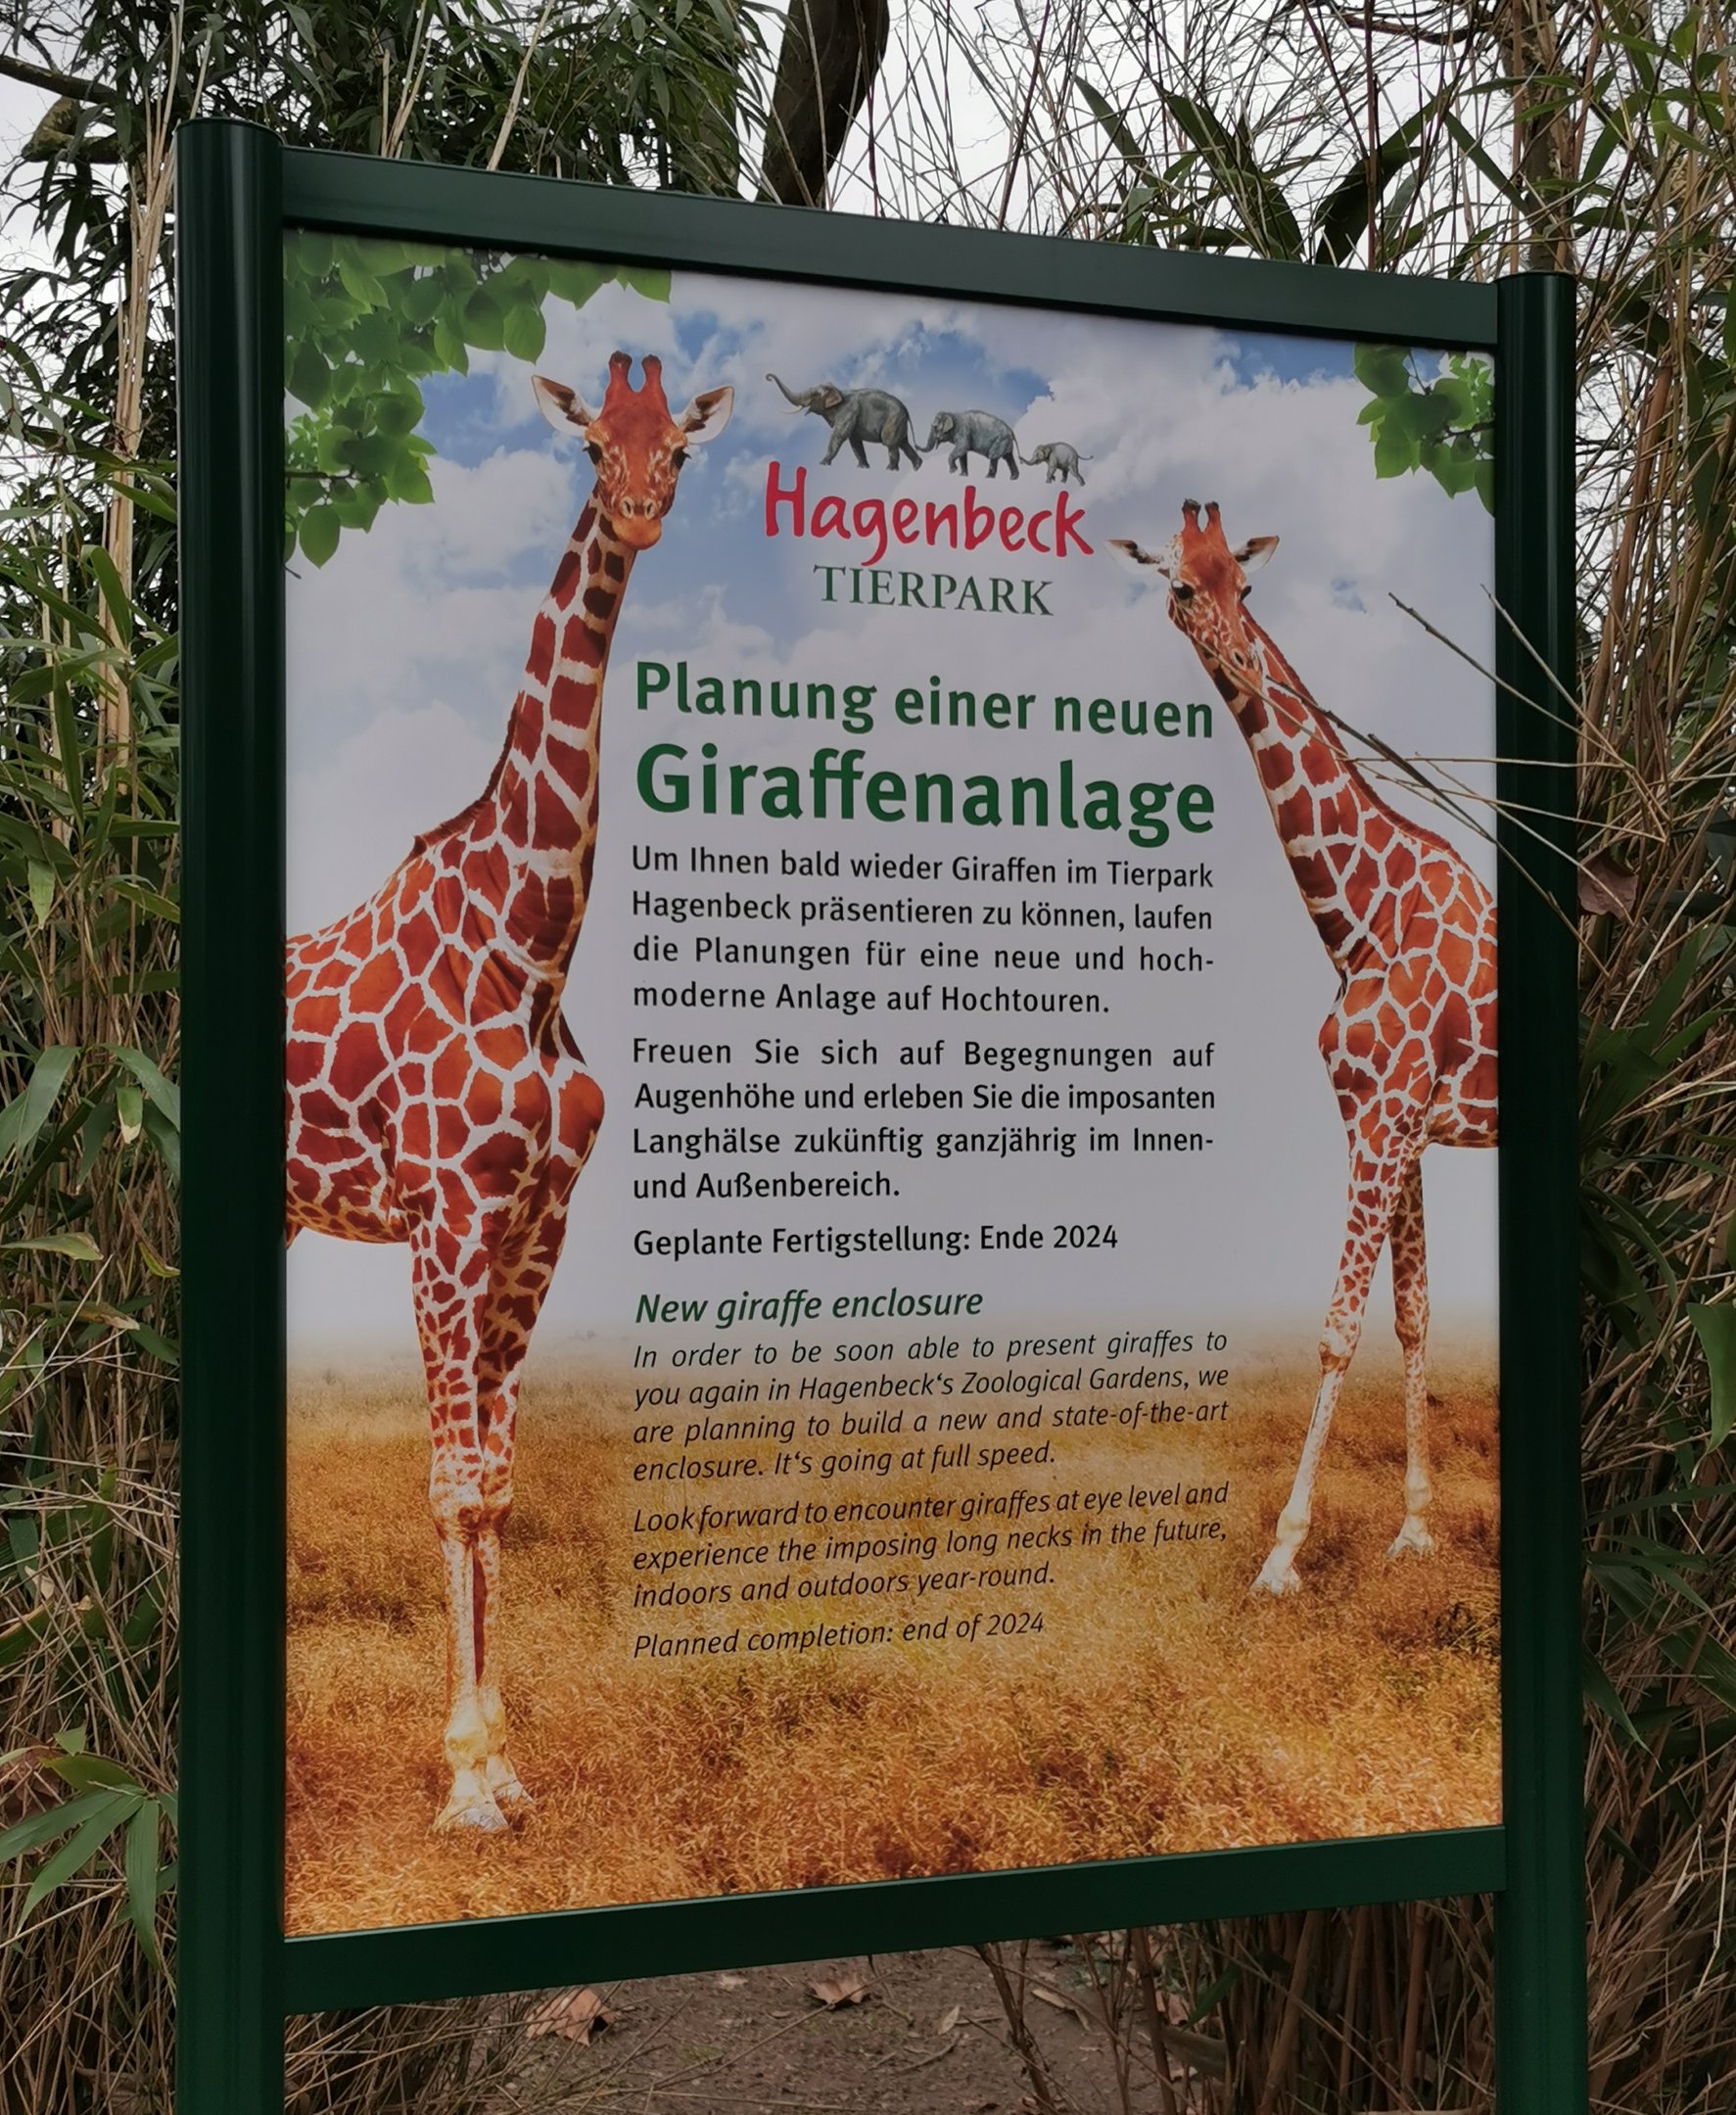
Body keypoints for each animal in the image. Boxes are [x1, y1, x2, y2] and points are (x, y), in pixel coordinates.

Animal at [286, 353, 733, 1830]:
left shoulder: (540, 1220)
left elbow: (498, 1487)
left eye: (679, 447)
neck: (527, 943)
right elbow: (451, 1486)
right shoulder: (446, 1216)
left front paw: (503, 1762)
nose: (642, 509)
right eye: (594, 440)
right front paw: (467, 1778)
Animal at [1110, 501, 1497, 1595]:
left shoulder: (1383, 1122)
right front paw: (1415, 1530)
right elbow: (1411, 1317)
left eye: (1246, 586)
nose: (1244, 660)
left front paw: (1281, 1554)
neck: (1360, 919)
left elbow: (1334, 1333)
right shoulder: (1399, 1128)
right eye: (1182, 584)